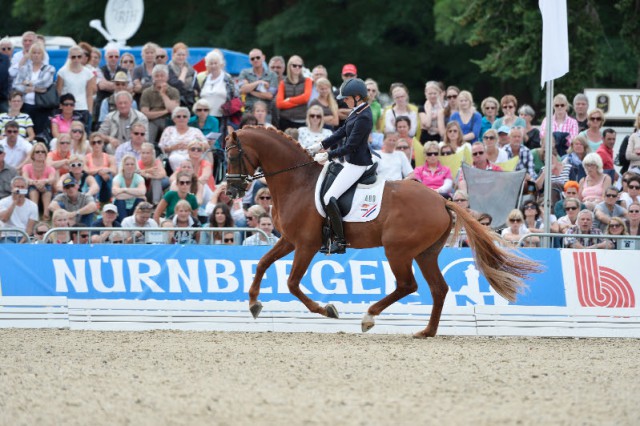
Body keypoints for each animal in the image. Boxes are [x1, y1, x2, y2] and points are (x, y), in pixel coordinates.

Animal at [225, 126, 540, 336]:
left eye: (233, 156)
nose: (230, 191)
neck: (297, 181)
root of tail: (441, 200)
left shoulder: (305, 245)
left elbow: (291, 283)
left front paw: (327, 310)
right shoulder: (290, 241)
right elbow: (263, 263)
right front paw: (253, 303)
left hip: (397, 250)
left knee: (407, 285)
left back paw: (369, 317)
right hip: (426, 253)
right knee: (438, 288)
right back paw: (426, 332)